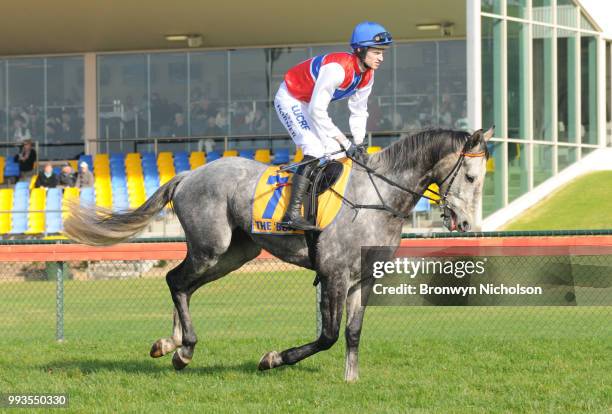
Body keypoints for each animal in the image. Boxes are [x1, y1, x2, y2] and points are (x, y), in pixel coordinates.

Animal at [64, 127, 492, 382]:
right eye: (471, 176)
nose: (466, 223)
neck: (378, 199)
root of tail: (189, 175)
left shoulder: (365, 279)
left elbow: (352, 332)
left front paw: (351, 380)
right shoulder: (334, 274)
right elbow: (328, 335)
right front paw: (272, 358)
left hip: (233, 254)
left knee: (183, 285)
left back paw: (172, 346)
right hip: (211, 246)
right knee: (175, 280)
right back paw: (184, 348)